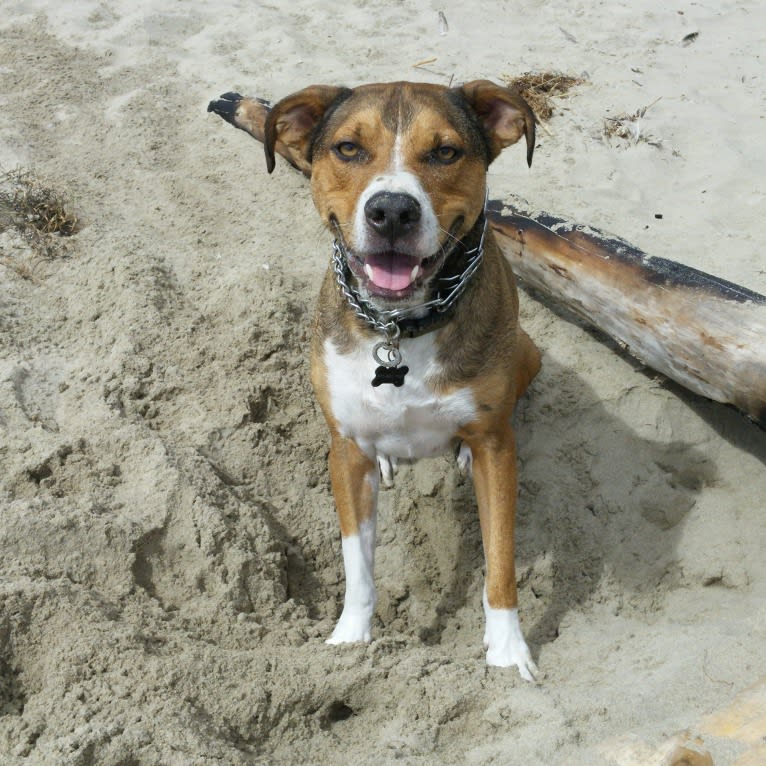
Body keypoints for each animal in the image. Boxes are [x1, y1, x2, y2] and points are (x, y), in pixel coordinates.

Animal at [219, 81, 540, 680]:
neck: (399, 327)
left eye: (445, 151)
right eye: (348, 148)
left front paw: (508, 653)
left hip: (527, 353)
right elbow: (358, 565)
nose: (392, 210)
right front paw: (350, 641)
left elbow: (501, 558)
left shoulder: (498, 449)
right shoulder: (344, 453)